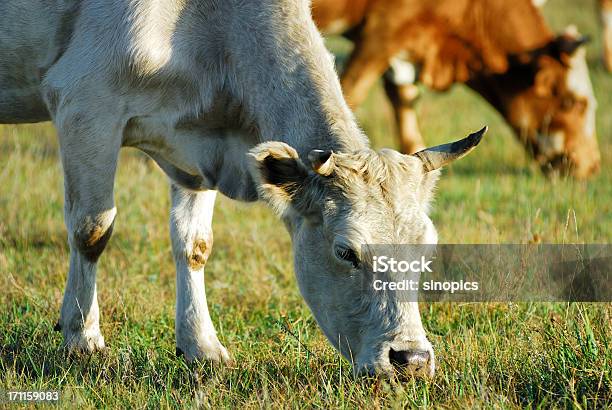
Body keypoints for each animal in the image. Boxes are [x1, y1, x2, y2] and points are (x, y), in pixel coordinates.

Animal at [1, 0, 488, 378]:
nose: (411, 360)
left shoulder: (197, 146)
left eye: (427, 251)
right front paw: (82, 339)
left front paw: (202, 347)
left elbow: (194, 244)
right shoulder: (85, 105)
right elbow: (92, 230)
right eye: (346, 252)